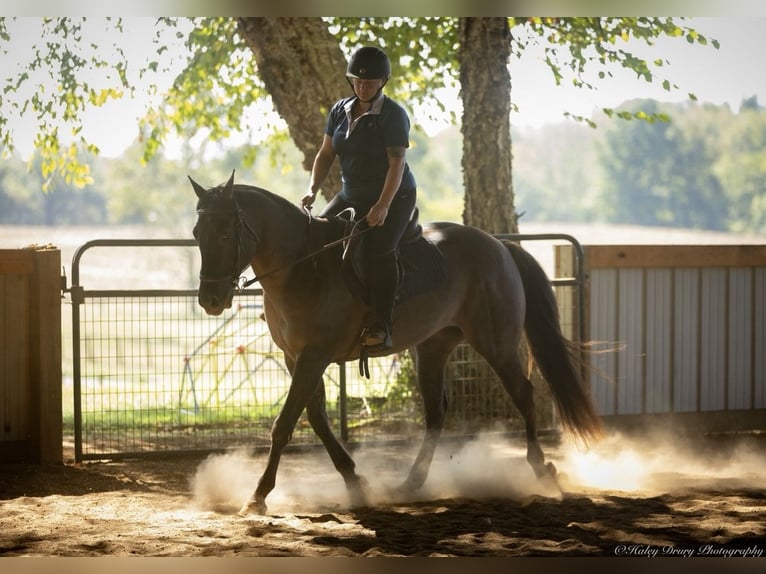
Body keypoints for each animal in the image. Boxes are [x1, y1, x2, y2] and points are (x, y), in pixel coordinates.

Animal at [190, 171, 602, 515]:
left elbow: (285, 423)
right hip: (433, 347)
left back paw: (541, 469)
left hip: (496, 344)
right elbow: (317, 419)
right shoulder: (296, 358)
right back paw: (411, 483)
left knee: (524, 394)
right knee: (436, 412)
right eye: (196, 233)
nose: (210, 299)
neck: (304, 266)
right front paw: (355, 481)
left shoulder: (313, 357)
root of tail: (500, 247)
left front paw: (258, 495)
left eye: (225, 233)